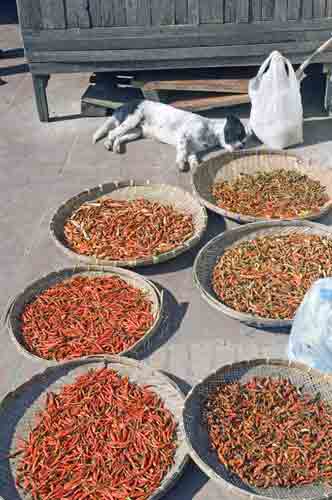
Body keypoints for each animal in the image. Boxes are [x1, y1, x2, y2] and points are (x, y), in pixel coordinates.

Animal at [92, 99, 248, 172]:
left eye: (244, 141)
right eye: (238, 134)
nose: (241, 147)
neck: (209, 131)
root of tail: (122, 106)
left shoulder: (193, 149)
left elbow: (192, 157)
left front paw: (194, 166)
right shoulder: (184, 137)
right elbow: (182, 152)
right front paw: (181, 163)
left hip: (136, 132)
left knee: (119, 137)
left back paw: (117, 147)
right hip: (132, 121)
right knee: (111, 132)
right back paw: (107, 143)